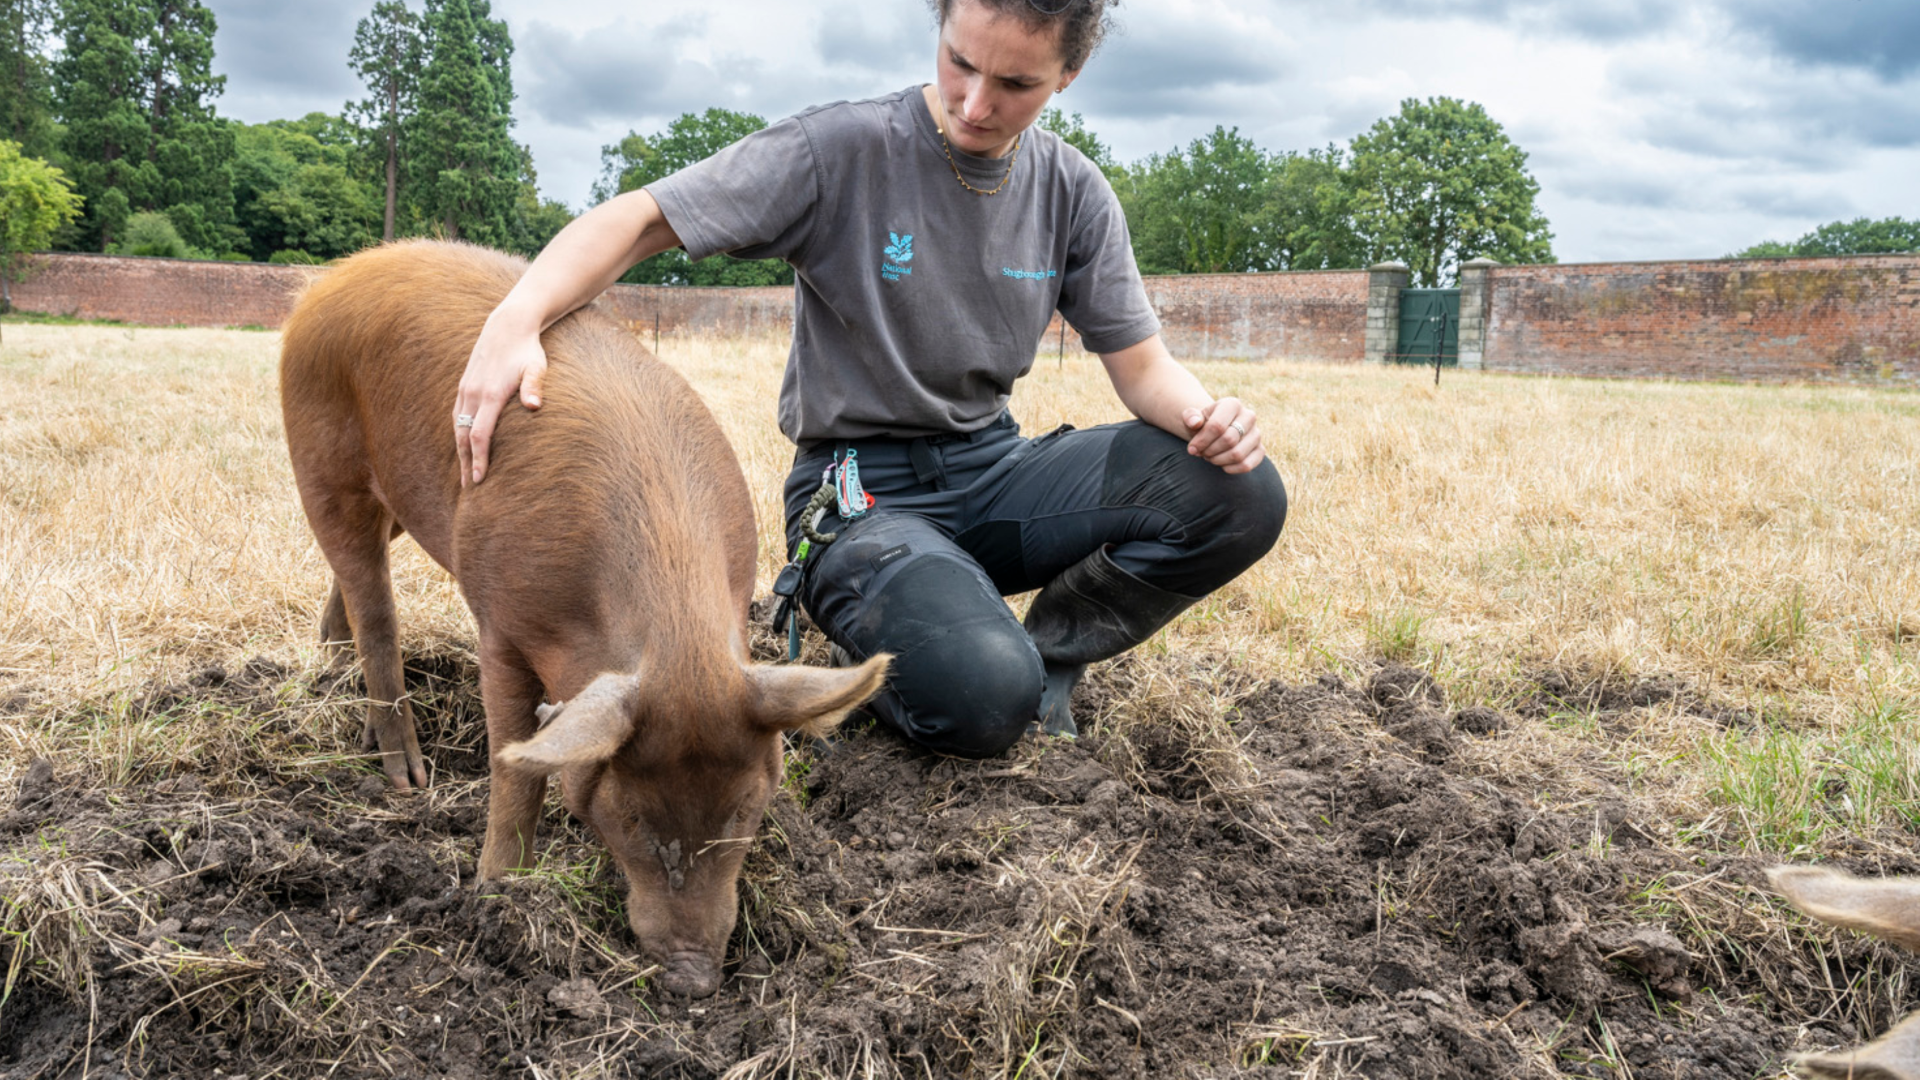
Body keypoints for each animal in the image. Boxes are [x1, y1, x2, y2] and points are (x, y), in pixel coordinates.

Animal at [279, 239, 888, 997]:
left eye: (747, 808)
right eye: (630, 814)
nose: (692, 979)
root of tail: (332, 279)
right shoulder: (501, 626)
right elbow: (516, 768)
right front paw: (496, 892)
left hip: (400, 497)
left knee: (352, 587)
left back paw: (334, 678)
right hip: (321, 460)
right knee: (373, 600)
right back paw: (409, 780)